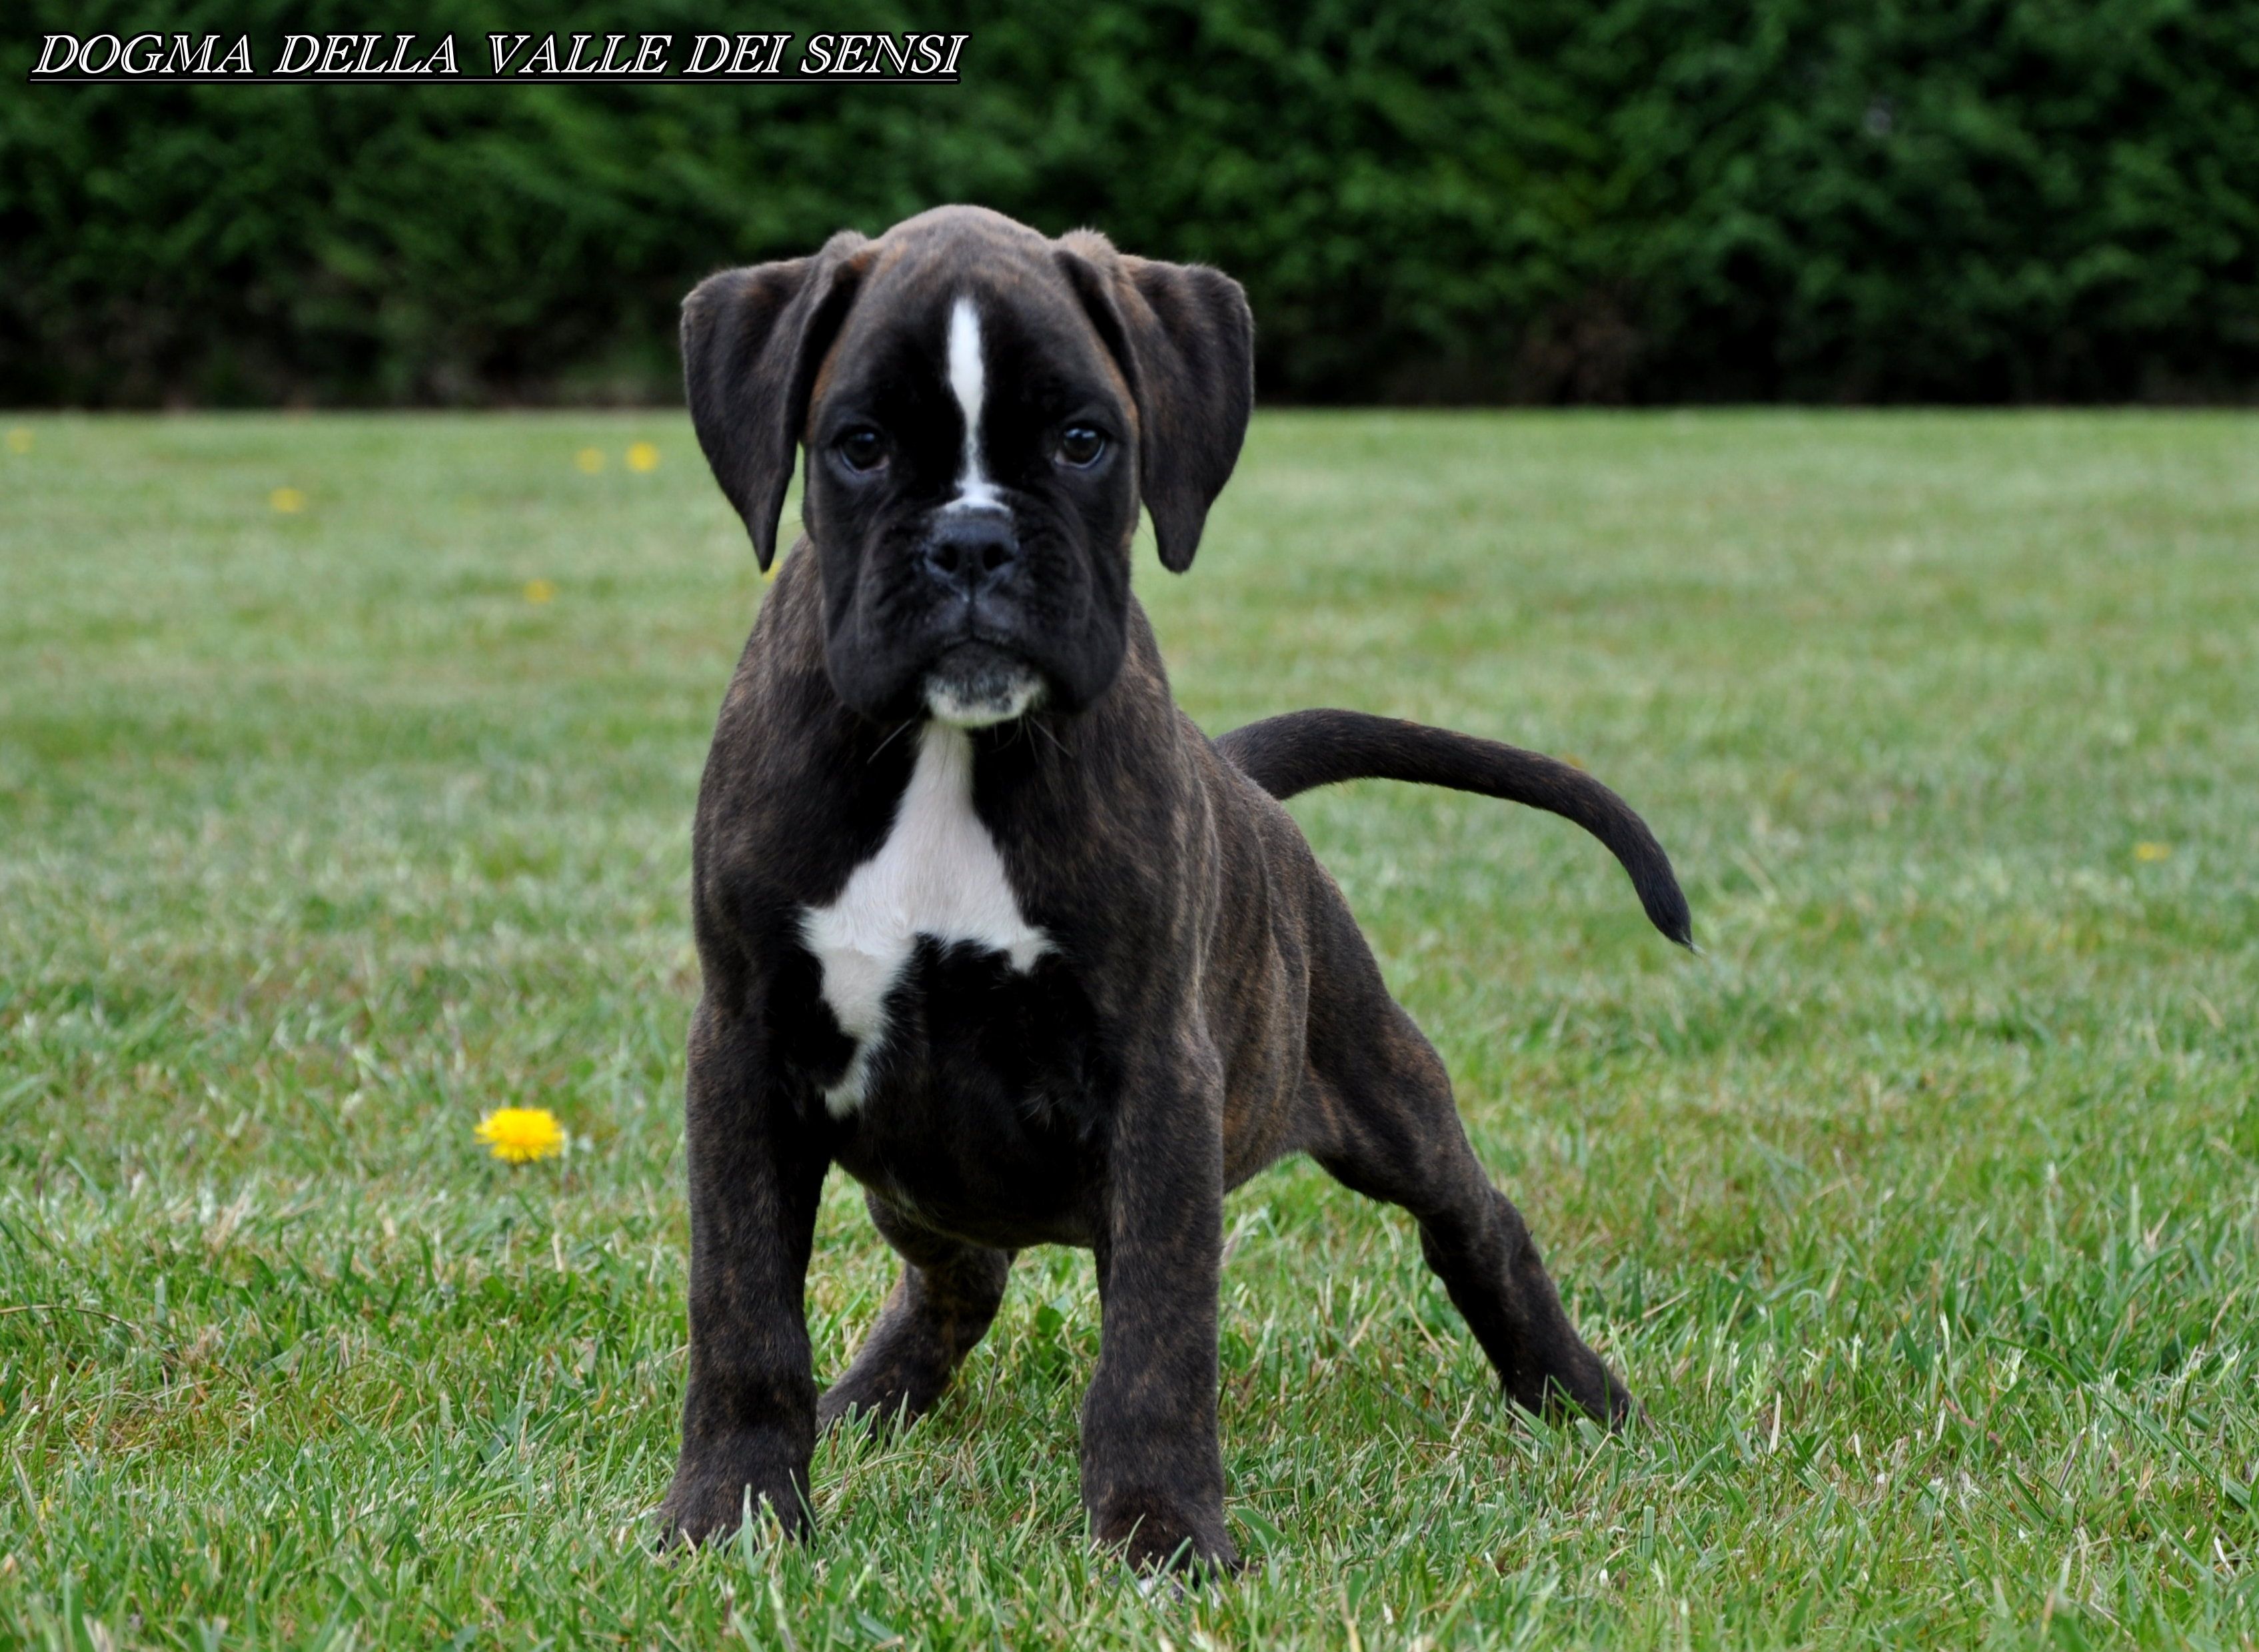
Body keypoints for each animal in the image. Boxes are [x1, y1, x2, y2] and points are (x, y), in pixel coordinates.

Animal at [659, 200, 1689, 1573]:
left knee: (1478, 1220)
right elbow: (744, 1307)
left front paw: (1159, 1529)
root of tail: (1237, 773)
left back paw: (1579, 1395)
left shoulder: (1157, 1076)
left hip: (1379, 1087)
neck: (949, 753)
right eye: (859, 447)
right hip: (912, 1180)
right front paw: (731, 1510)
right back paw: (869, 1400)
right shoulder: (744, 1052)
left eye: (1085, 440)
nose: (973, 540)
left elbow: (1156, 1329)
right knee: (958, 1274)